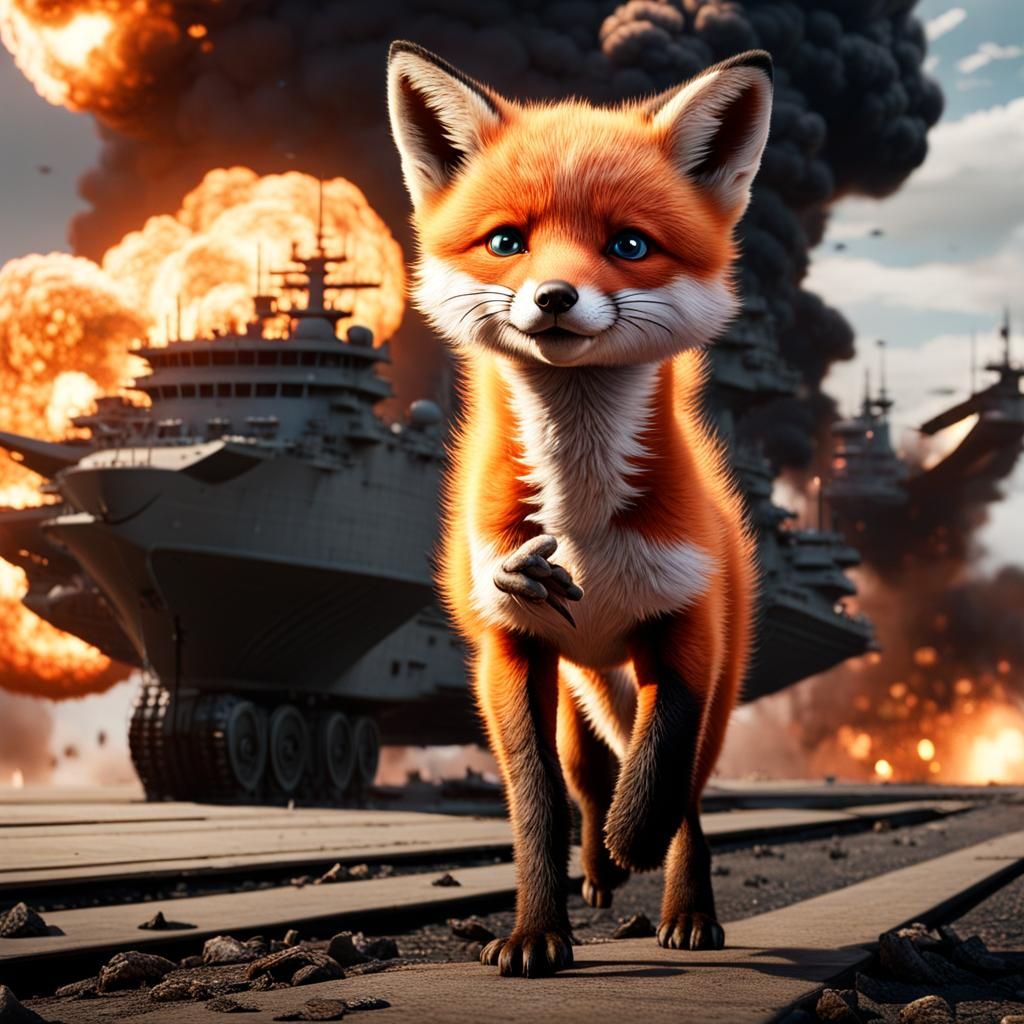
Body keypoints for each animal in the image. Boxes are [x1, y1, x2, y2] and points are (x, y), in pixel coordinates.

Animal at [387, 40, 772, 978]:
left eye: (628, 244)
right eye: (506, 242)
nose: (555, 296)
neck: (584, 521)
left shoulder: (687, 633)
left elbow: (662, 768)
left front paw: (643, 843)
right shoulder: (508, 649)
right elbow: (539, 807)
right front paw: (536, 933)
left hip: (689, 684)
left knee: (683, 790)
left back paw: (678, 902)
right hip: (578, 694)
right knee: (586, 778)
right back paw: (598, 869)